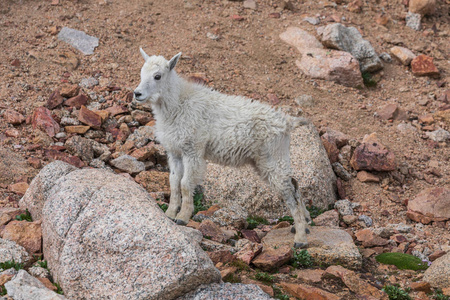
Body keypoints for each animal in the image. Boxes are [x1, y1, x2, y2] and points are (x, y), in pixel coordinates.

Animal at [132, 48, 312, 246]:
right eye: (141, 73)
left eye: (157, 76)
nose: (137, 94)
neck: (177, 105)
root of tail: (287, 122)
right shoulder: (175, 152)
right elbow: (173, 182)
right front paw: (170, 214)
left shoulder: (193, 150)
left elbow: (185, 183)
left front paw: (183, 217)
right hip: (265, 161)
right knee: (294, 184)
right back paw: (304, 224)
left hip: (274, 156)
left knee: (289, 193)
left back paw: (301, 238)